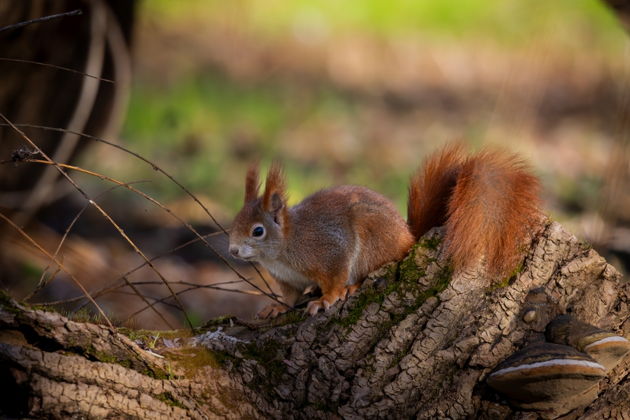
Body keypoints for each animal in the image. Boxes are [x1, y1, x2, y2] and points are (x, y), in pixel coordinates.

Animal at [228, 145, 544, 318]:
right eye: (233, 222)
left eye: (258, 231)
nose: (232, 250)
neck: (282, 249)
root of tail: (409, 238)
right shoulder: (287, 280)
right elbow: (290, 296)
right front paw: (278, 307)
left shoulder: (329, 250)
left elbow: (334, 278)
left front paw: (325, 299)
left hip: (372, 241)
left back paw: (352, 286)